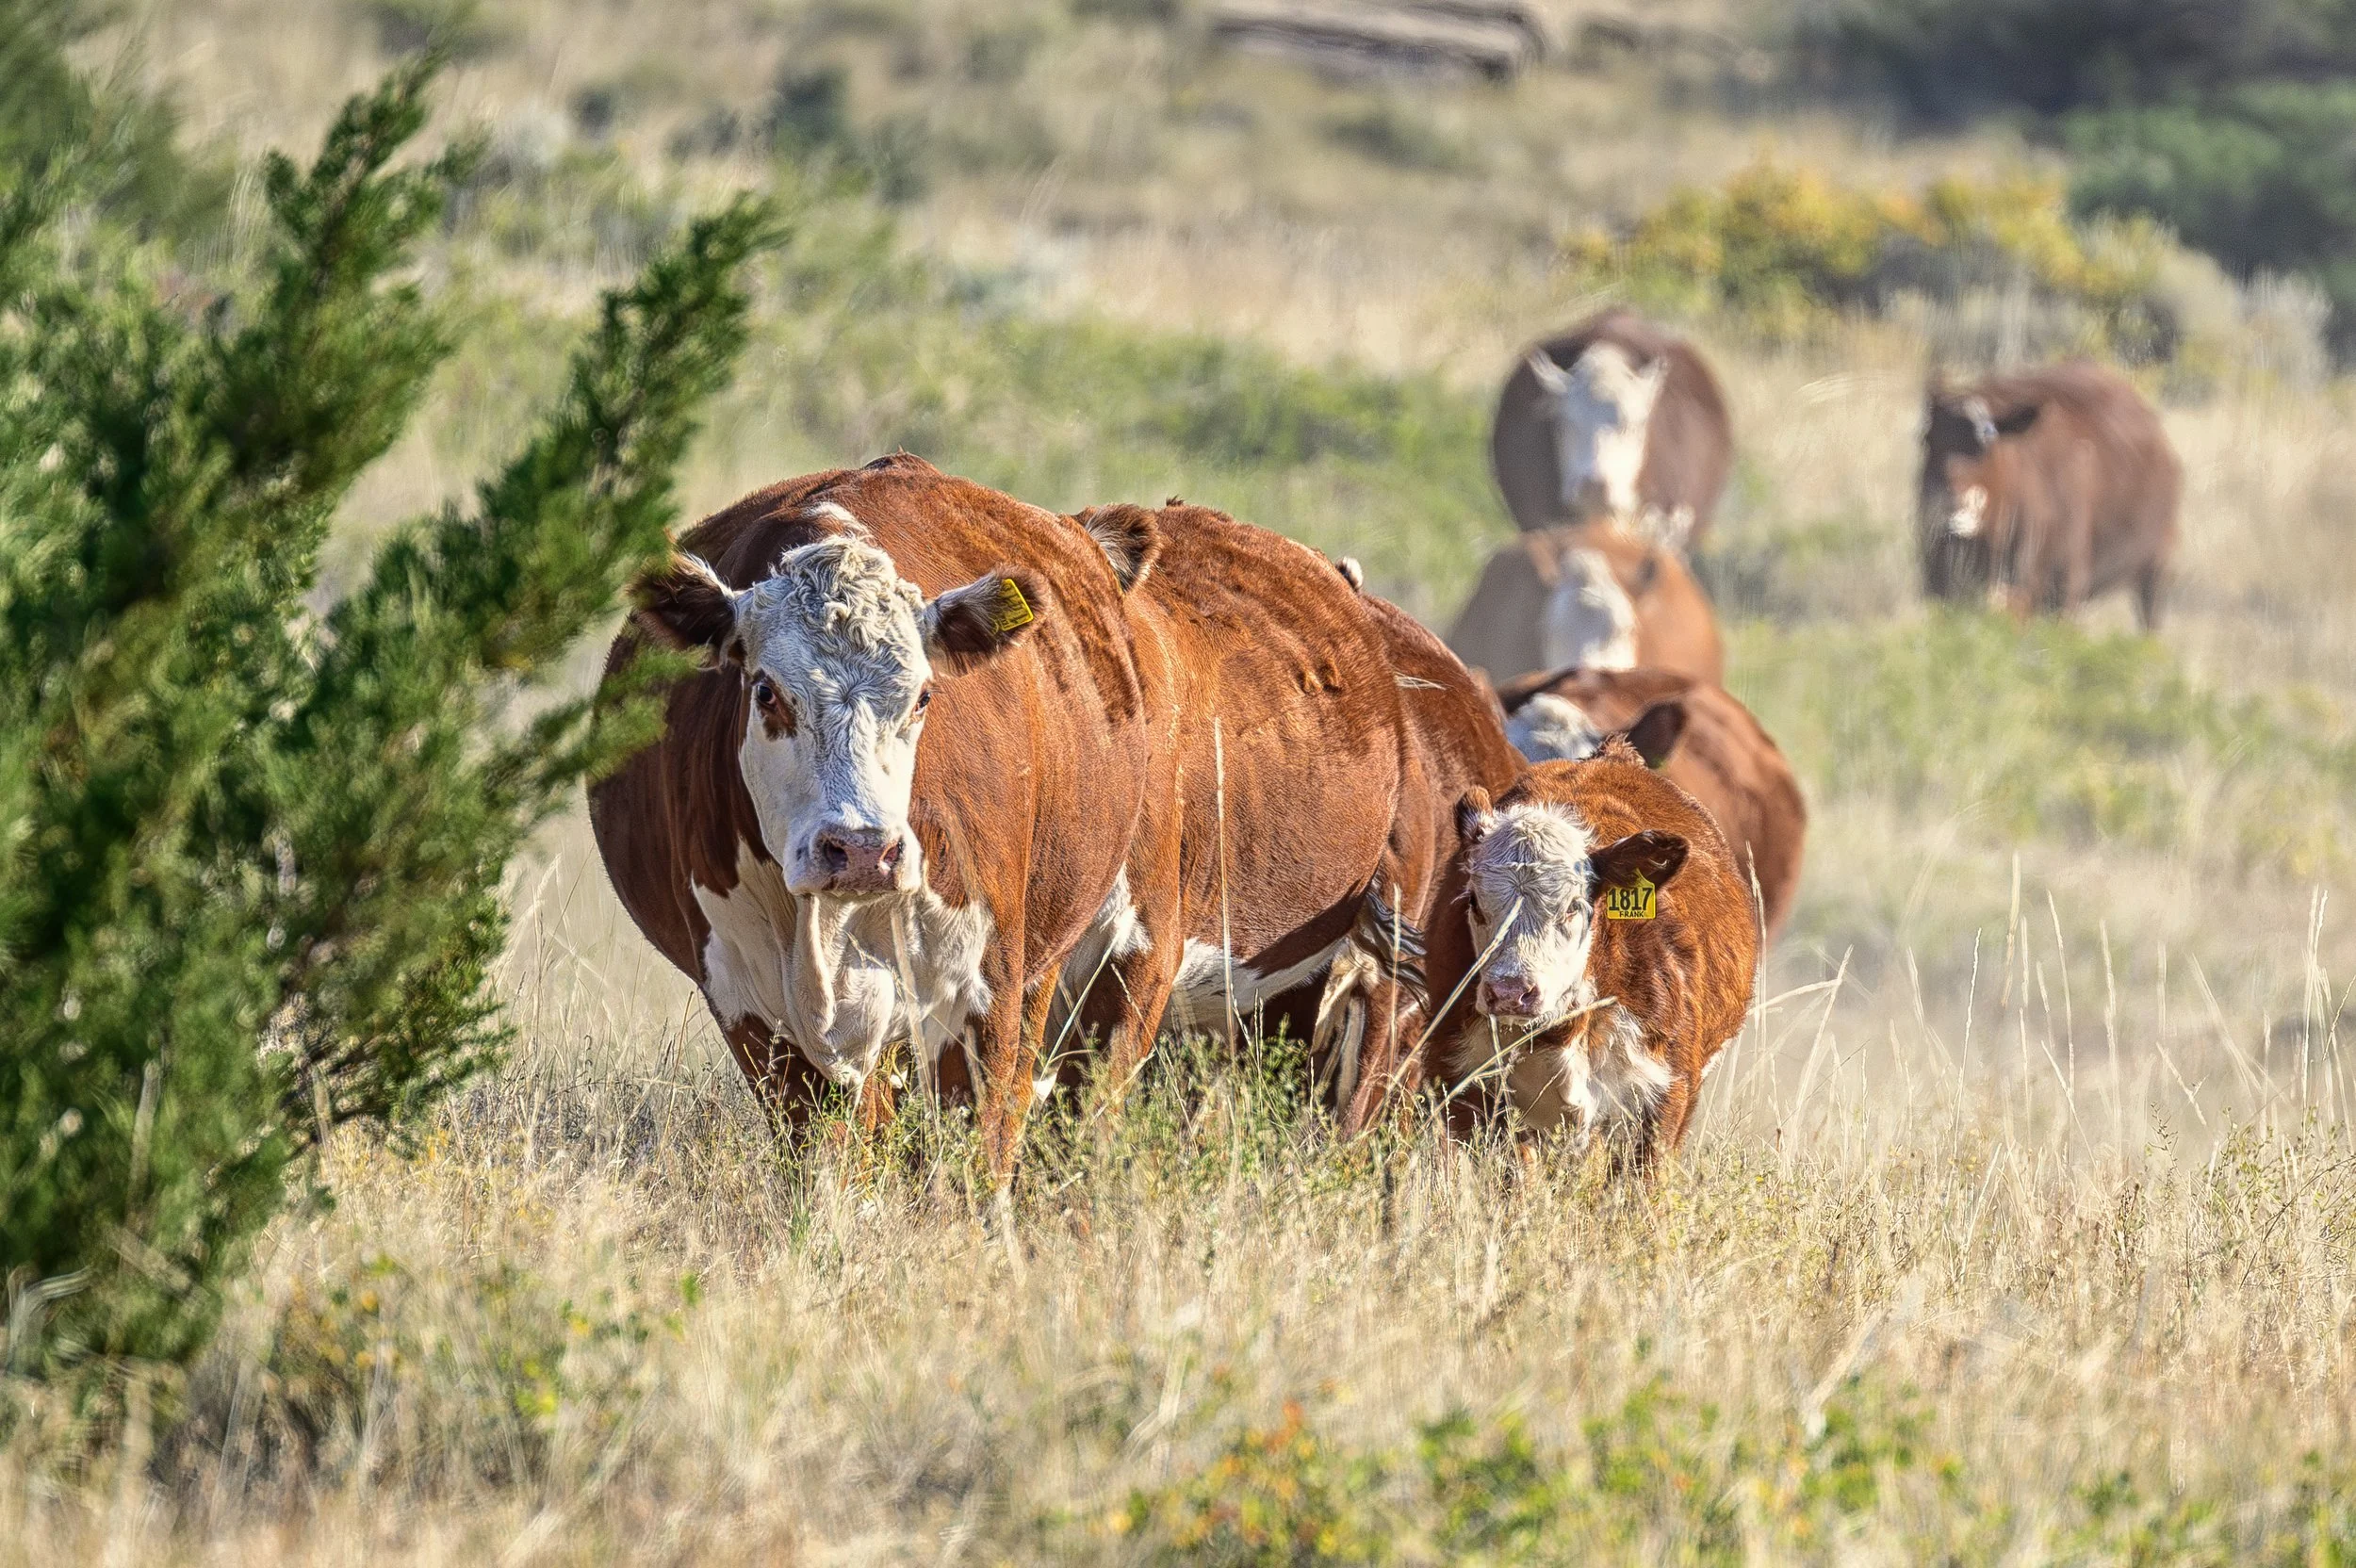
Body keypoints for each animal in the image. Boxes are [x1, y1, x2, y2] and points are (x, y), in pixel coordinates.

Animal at [587, 455, 1160, 1182]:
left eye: (923, 696)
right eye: (766, 692)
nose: (860, 850)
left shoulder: (984, 989)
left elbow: (977, 1151)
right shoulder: (749, 1004)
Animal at [1917, 363, 2181, 629]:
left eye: (1987, 439)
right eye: (1927, 439)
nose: (1948, 502)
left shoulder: (2066, 587)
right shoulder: (1941, 584)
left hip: (2155, 569)